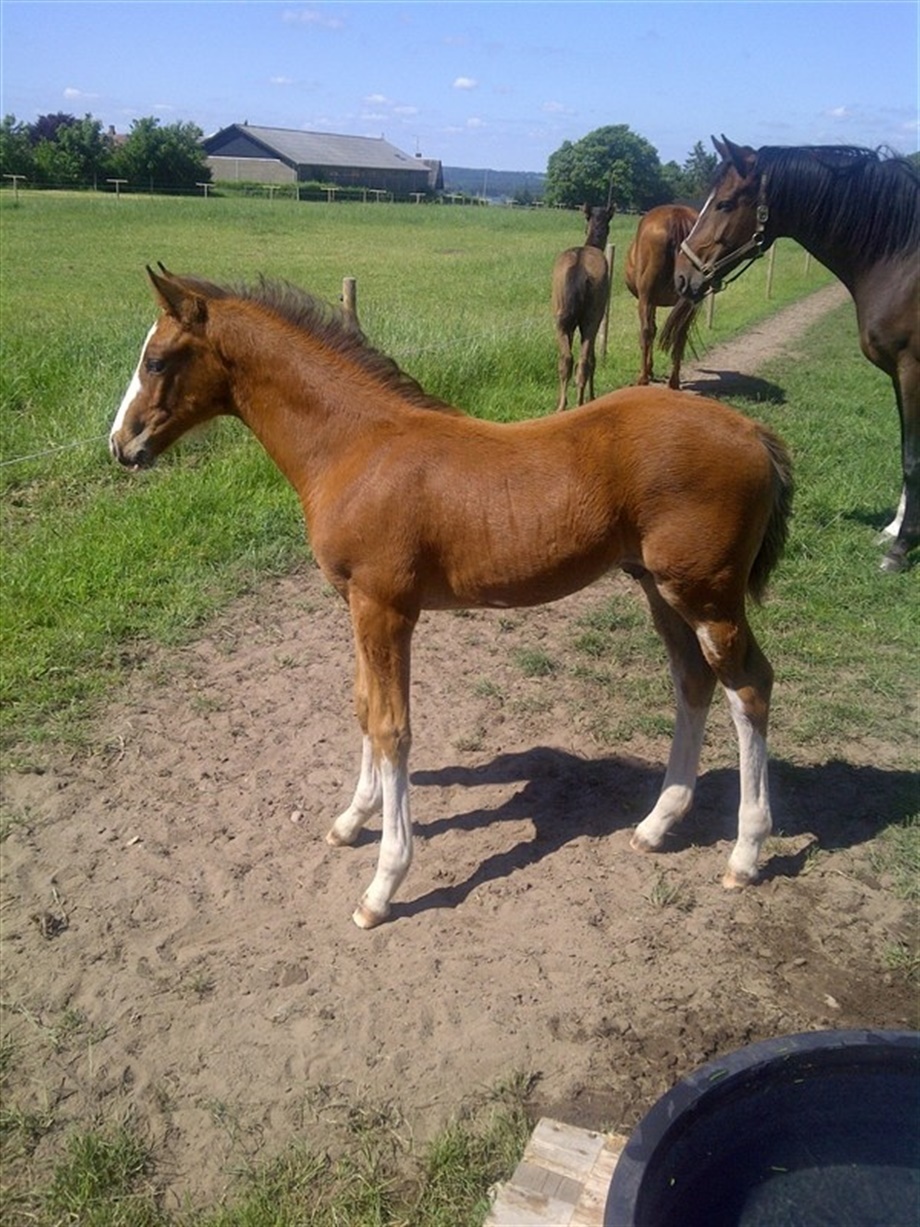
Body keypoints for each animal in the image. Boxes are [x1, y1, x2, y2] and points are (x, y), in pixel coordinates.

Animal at [110, 266, 793, 930]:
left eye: (158, 362)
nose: (120, 445)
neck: (358, 448)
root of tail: (754, 431)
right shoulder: (358, 607)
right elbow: (364, 708)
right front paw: (351, 820)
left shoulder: (385, 607)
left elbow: (392, 728)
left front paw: (383, 884)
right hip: (659, 588)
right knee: (693, 682)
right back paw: (656, 825)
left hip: (707, 595)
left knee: (749, 687)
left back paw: (745, 853)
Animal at [551, 204, 614, 411]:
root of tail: (579, 268)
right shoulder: (596, 320)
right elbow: (593, 359)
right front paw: (592, 396)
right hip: (591, 321)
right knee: (585, 361)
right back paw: (580, 403)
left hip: (561, 321)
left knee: (567, 359)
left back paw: (562, 405)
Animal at [624, 204, 701, 389]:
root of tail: (677, 216)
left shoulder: (649, 300)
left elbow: (651, 330)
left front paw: (649, 369)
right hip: (687, 305)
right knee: (680, 334)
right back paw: (674, 382)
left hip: (646, 298)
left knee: (646, 331)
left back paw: (643, 378)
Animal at [674, 136, 920, 573]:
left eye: (724, 204)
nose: (683, 276)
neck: (903, 261)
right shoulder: (899, 372)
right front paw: (894, 529)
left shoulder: (912, 369)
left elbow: (912, 457)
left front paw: (900, 548)